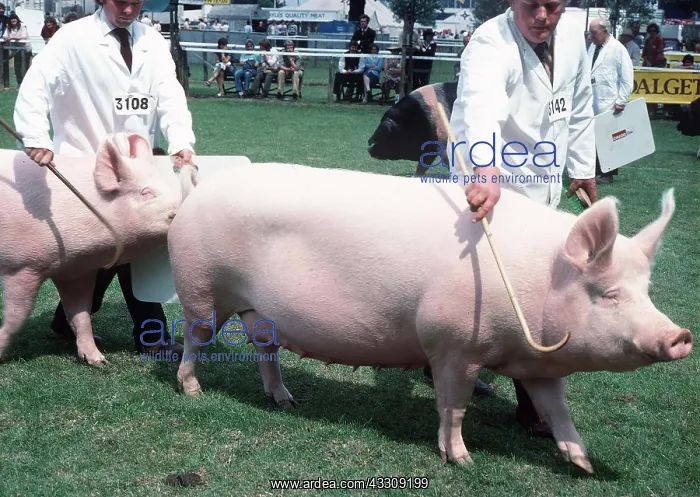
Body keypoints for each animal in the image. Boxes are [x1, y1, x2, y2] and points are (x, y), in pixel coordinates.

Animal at [0, 133, 198, 366]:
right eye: (146, 193)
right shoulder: (23, 266)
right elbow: (17, 316)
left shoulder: (77, 270)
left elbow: (82, 313)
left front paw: (99, 361)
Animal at [167, 162, 692, 474]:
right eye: (608, 294)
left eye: (645, 291)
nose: (681, 335)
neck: (539, 282)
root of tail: (198, 189)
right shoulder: (453, 344)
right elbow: (453, 405)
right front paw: (462, 461)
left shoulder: (541, 362)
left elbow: (558, 409)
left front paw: (582, 464)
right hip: (200, 287)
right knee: (194, 339)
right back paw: (192, 390)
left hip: (260, 312)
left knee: (266, 350)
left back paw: (286, 401)